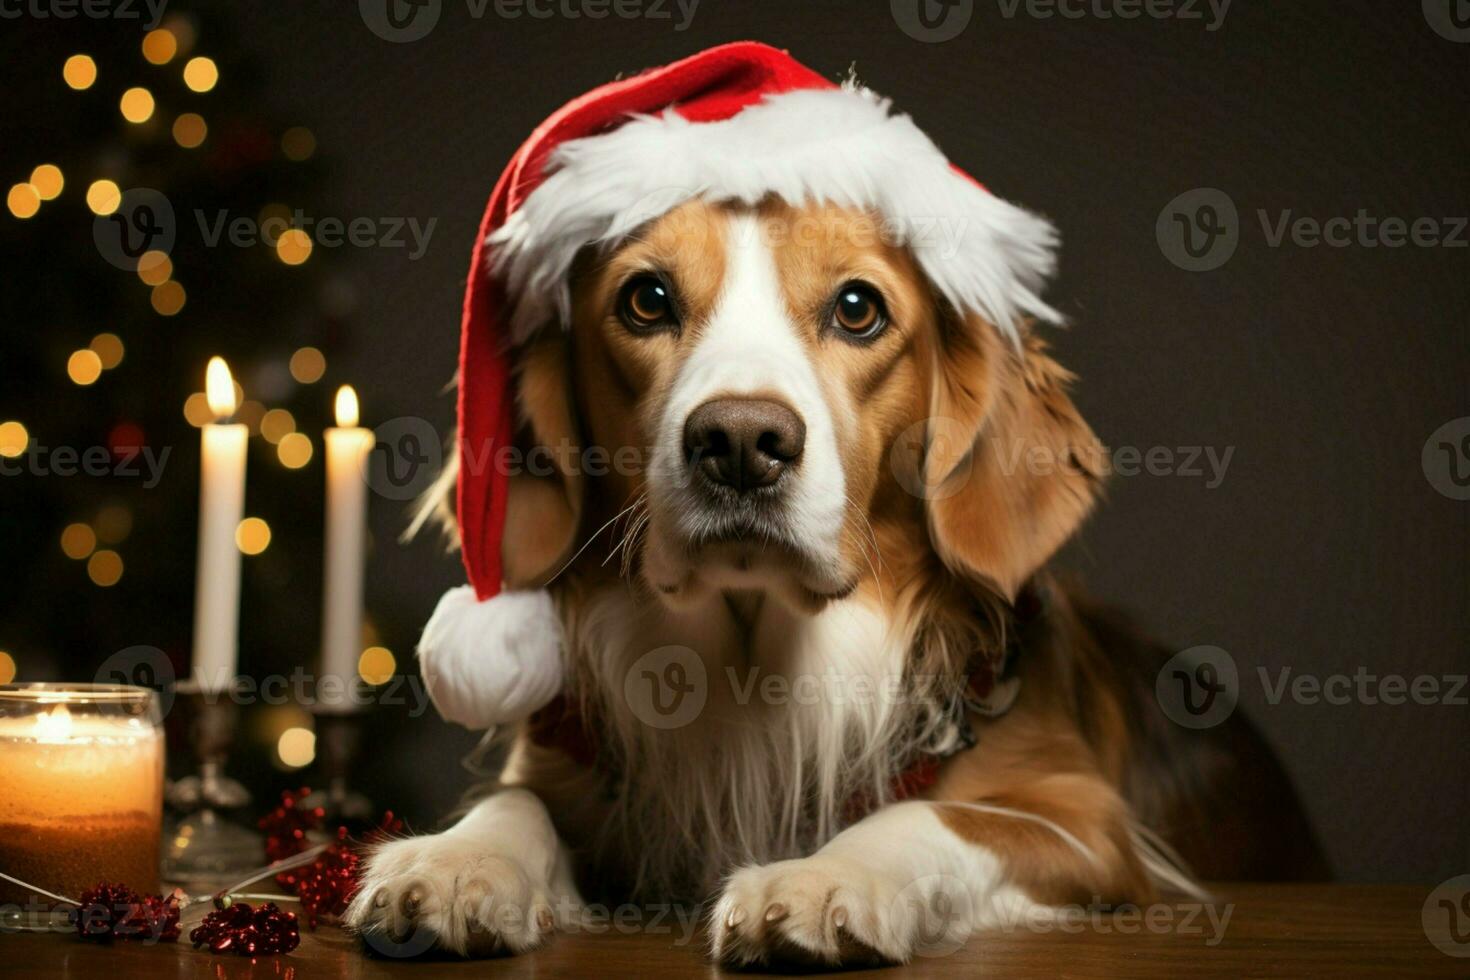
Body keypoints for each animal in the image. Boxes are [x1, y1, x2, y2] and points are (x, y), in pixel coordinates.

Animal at [341, 45, 1323, 963]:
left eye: (857, 308)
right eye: (647, 298)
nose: (741, 443)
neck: (755, 665)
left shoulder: (1085, 822)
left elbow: (923, 817)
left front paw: (822, 879)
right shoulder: (567, 765)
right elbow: (513, 804)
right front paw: (453, 861)